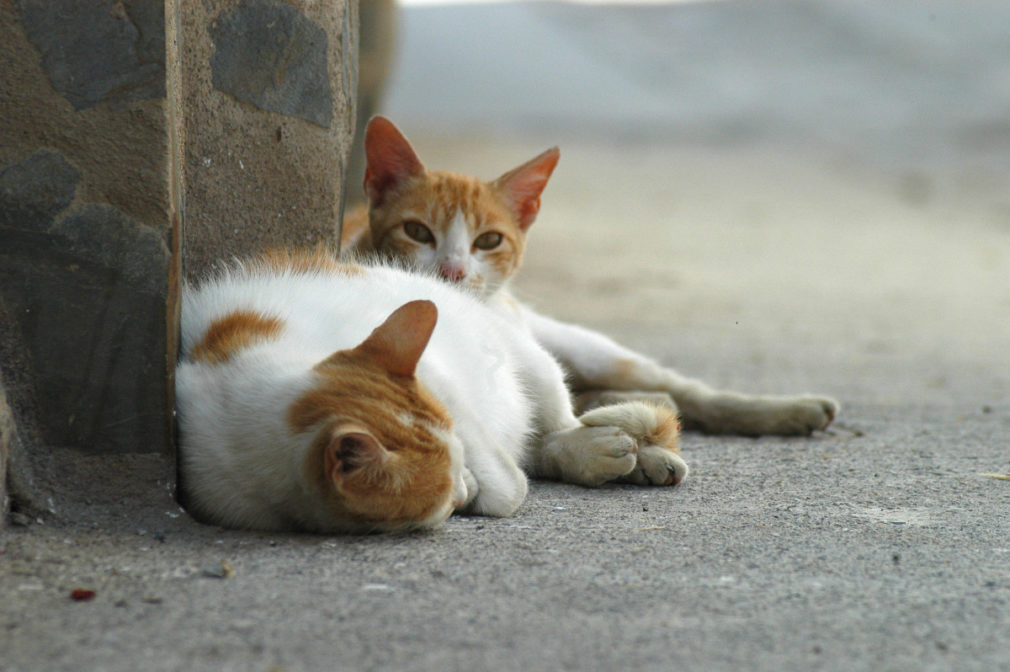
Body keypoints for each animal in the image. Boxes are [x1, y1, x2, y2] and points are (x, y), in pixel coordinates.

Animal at [179, 248, 686, 533]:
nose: (462, 488)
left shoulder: (443, 386)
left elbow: (507, 486)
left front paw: (489, 488)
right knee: (543, 443)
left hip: (529, 360)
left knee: (559, 424)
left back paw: (629, 452)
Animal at [343, 116, 840, 434]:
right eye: (416, 232)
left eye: (489, 241)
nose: (453, 269)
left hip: (585, 347)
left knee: (682, 387)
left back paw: (783, 410)